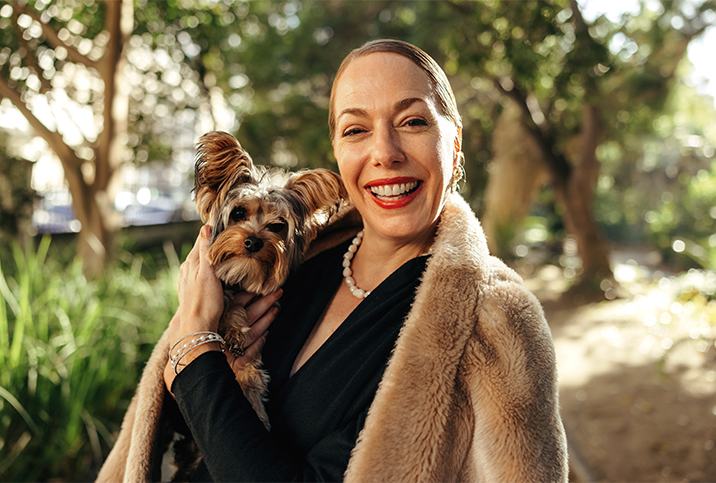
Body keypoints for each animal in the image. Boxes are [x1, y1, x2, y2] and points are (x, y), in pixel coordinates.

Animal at [190, 131, 346, 428]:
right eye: (238, 213)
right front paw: (233, 326)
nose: (253, 241)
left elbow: (250, 379)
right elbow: (226, 300)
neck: (243, 273)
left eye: (277, 225)